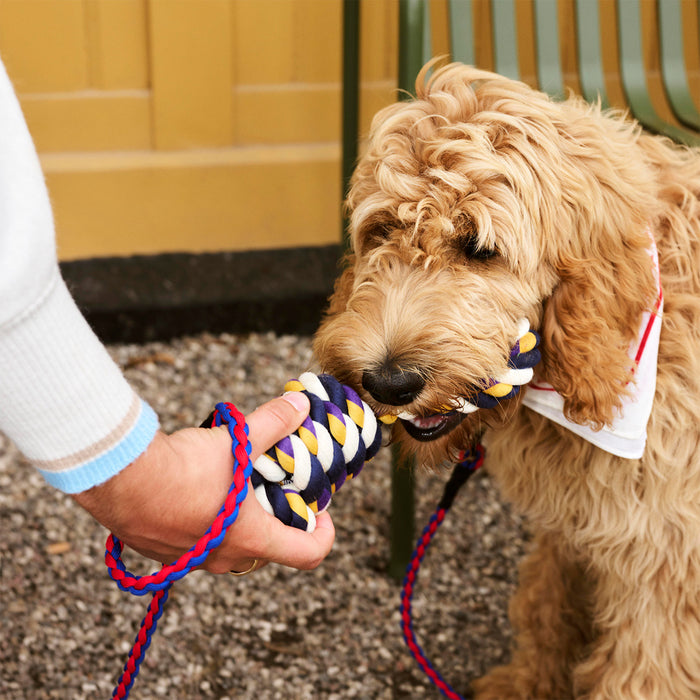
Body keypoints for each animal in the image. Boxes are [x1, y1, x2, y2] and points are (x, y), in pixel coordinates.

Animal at [314, 63, 700, 696]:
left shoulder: (665, 558)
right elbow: (547, 598)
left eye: (479, 248)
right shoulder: (580, 519)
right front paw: (529, 681)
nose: (390, 382)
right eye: (381, 230)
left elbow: (642, 672)